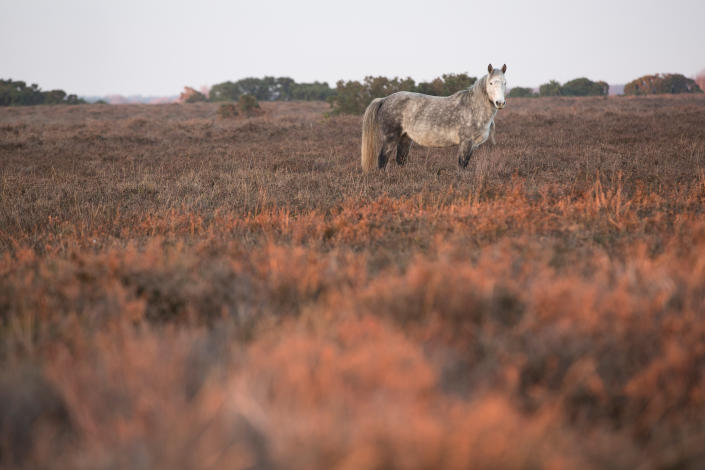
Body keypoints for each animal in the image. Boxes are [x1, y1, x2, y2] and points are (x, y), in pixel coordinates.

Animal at [358, 63, 506, 171]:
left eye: (504, 82)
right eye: (491, 83)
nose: (500, 103)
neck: (473, 107)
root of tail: (384, 99)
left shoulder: (472, 146)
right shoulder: (465, 142)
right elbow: (462, 165)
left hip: (405, 138)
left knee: (400, 160)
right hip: (390, 138)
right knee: (382, 160)